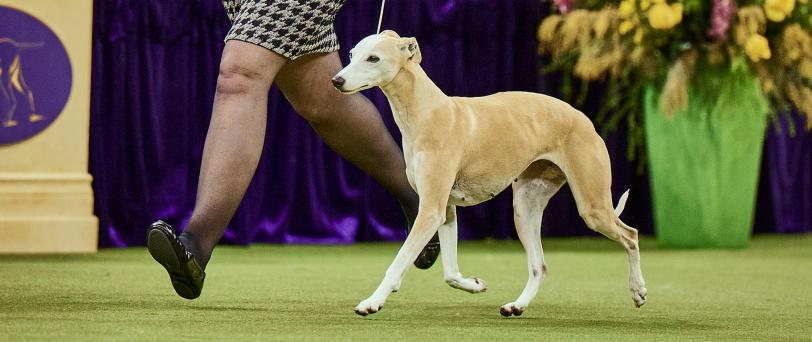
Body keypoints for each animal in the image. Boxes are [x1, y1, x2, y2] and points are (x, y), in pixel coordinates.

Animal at [332, 30, 648, 316]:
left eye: (373, 58)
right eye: (351, 54)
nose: (336, 81)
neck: (427, 112)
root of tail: (582, 118)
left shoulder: (431, 209)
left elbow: (398, 261)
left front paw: (372, 302)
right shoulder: (445, 209)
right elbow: (450, 273)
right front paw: (474, 284)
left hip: (592, 206)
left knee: (630, 235)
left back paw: (638, 290)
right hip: (525, 207)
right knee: (539, 266)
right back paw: (516, 306)